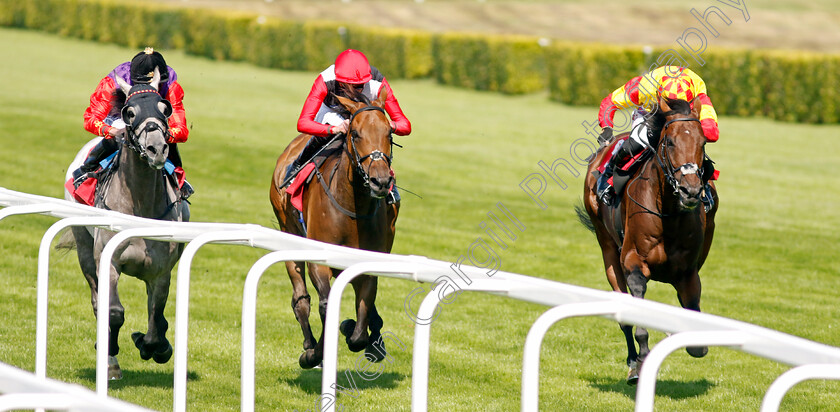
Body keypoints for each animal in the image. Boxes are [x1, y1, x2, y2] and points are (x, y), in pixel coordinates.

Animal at [63, 67, 189, 380]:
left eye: (165, 110)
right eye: (130, 112)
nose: (157, 149)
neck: (139, 207)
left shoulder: (160, 272)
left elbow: (156, 319)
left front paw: (155, 346)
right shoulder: (107, 262)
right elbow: (114, 312)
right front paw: (110, 357)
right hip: (84, 246)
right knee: (97, 300)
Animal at [270, 88, 398, 368]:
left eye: (389, 134)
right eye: (355, 133)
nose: (381, 181)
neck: (351, 205)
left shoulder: (366, 262)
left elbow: (362, 318)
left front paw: (354, 330)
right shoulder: (318, 261)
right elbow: (327, 305)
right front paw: (314, 353)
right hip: (288, 230)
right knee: (301, 299)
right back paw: (309, 344)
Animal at [576, 96, 720, 384]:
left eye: (702, 143)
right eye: (670, 142)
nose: (690, 190)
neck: (669, 214)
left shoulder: (688, 274)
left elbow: (695, 340)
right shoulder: (634, 263)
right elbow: (638, 314)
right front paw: (642, 358)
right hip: (608, 249)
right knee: (624, 314)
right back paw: (633, 363)